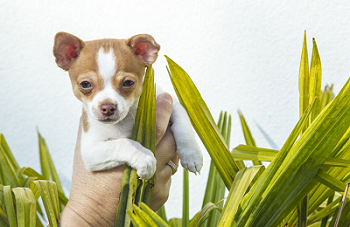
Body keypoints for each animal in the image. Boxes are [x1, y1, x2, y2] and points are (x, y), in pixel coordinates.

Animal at [53, 31, 204, 179]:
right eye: (85, 84)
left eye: (128, 83)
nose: (108, 107)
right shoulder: (90, 151)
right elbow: (123, 143)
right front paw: (145, 159)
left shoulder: (170, 100)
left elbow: (183, 125)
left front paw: (192, 155)